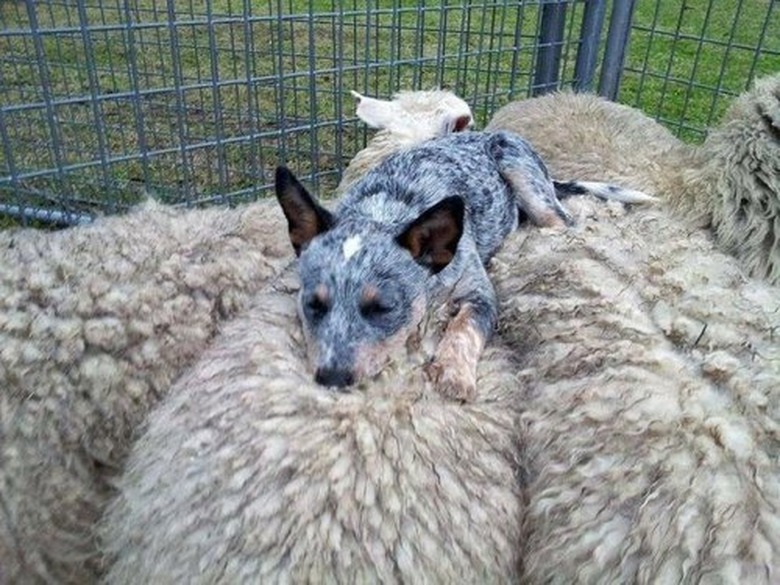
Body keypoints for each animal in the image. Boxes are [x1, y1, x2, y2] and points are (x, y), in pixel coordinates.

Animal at [97, 194, 780, 580]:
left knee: (558, 212)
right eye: (313, 304)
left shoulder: (482, 298)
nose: (331, 378)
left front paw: (451, 371)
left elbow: (465, 329)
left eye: (381, 308)